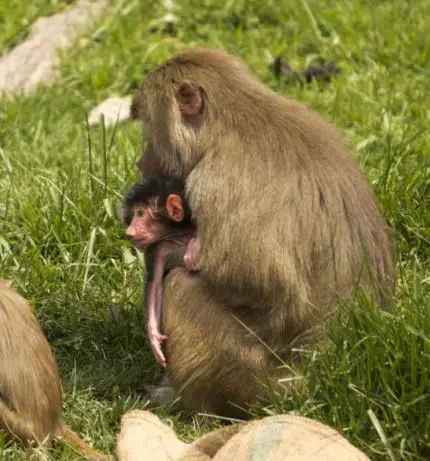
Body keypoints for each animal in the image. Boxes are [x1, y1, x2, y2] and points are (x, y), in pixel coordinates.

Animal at [119, 175, 198, 366]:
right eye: (133, 215)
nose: (129, 231)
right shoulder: (156, 248)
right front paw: (154, 339)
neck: (178, 234)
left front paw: (193, 248)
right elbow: (154, 284)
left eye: (140, 214)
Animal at [131, 47, 396, 416]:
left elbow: (257, 279)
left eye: (147, 131)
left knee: (182, 286)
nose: (141, 161)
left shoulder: (214, 182)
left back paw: (188, 404)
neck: (229, 124)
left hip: (251, 380)